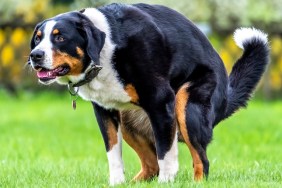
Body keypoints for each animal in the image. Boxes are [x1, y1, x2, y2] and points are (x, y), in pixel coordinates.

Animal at [28, 2, 268, 185]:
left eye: (60, 38)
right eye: (38, 38)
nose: (35, 55)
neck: (107, 50)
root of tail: (226, 94)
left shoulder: (161, 102)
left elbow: (166, 154)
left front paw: (167, 182)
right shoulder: (105, 110)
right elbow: (114, 154)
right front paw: (116, 183)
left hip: (187, 107)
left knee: (201, 160)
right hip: (129, 121)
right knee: (151, 165)